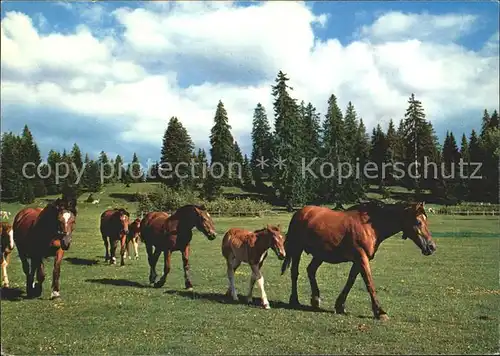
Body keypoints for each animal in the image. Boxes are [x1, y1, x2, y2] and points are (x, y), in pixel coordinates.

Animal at [282, 200, 438, 320]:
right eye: (418, 222)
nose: (432, 247)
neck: (370, 226)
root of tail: (300, 212)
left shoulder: (359, 260)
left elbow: (350, 281)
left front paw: (340, 305)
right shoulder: (361, 258)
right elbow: (369, 283)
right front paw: (380, 312)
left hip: (319, 255)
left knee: (311, 270)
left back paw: (315, 299)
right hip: (297, 250)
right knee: (294, 273)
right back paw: (294, 300)